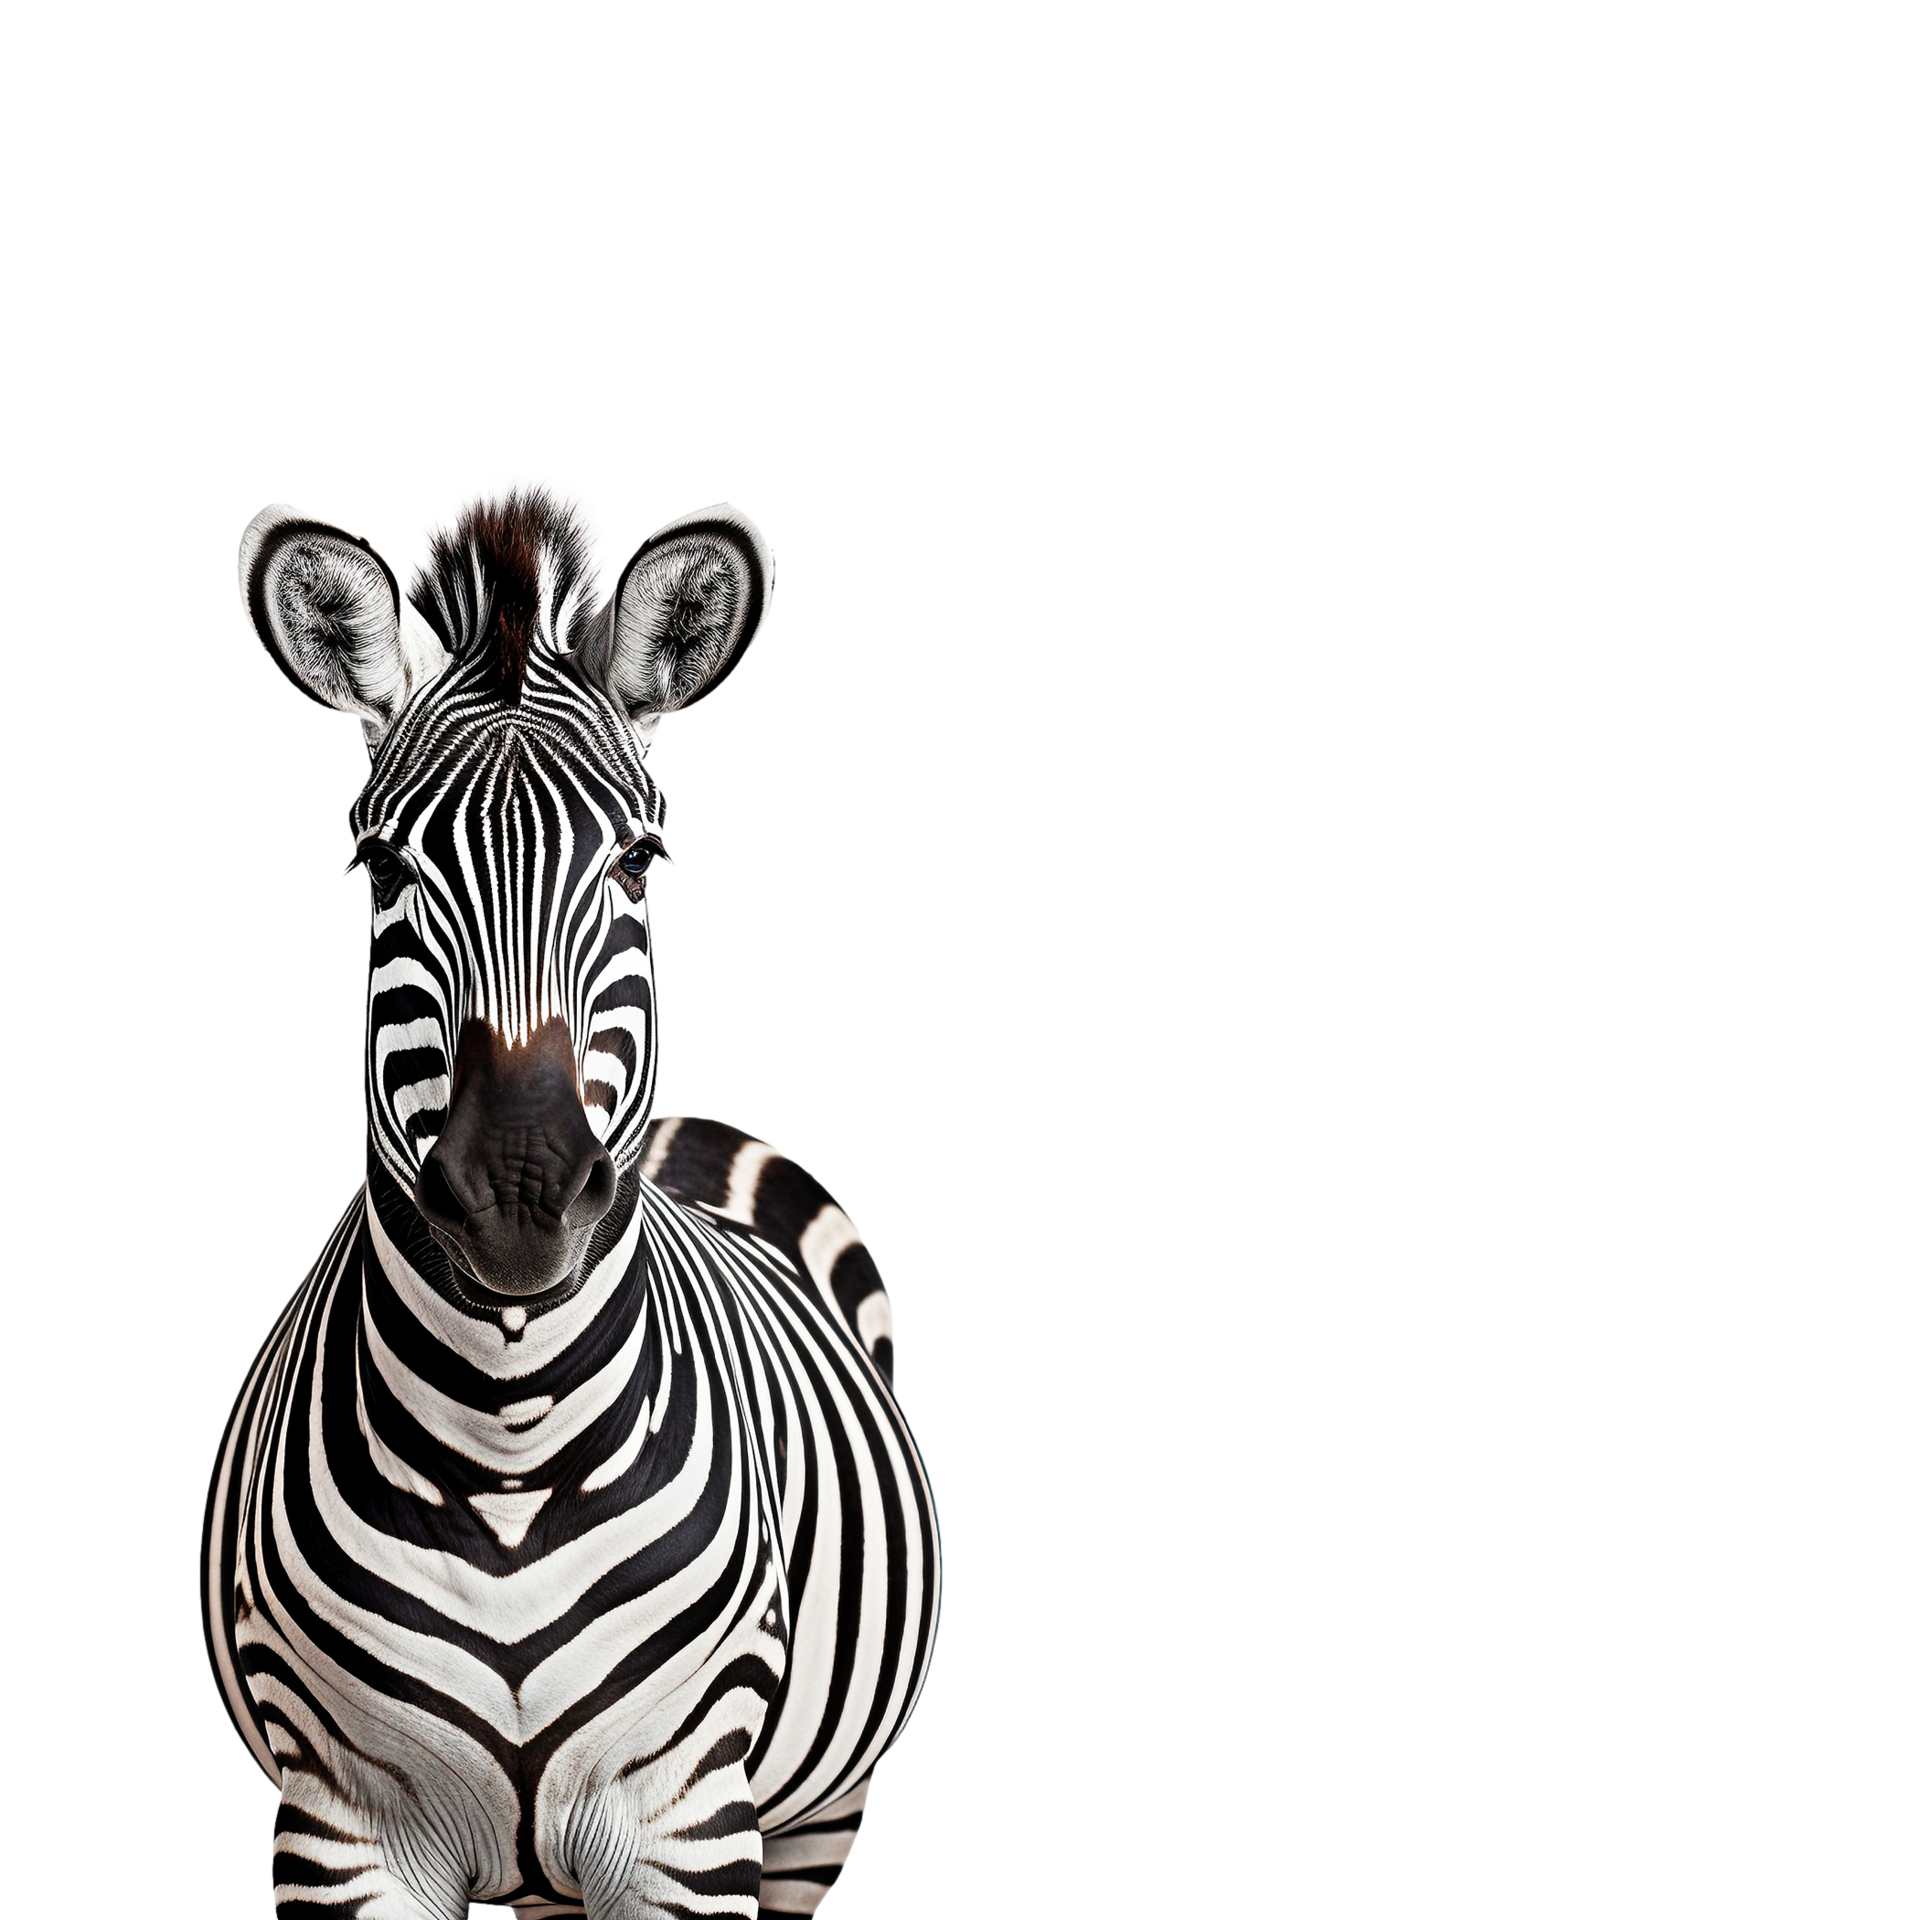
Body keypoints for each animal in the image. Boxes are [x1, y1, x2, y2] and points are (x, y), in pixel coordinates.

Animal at [203, 473, 943, 1918]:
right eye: (378, 871)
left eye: (642, 865)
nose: (521, 1192)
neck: (509, 1437)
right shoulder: (340, 1828)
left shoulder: (686, 1824)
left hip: (821, 1819)